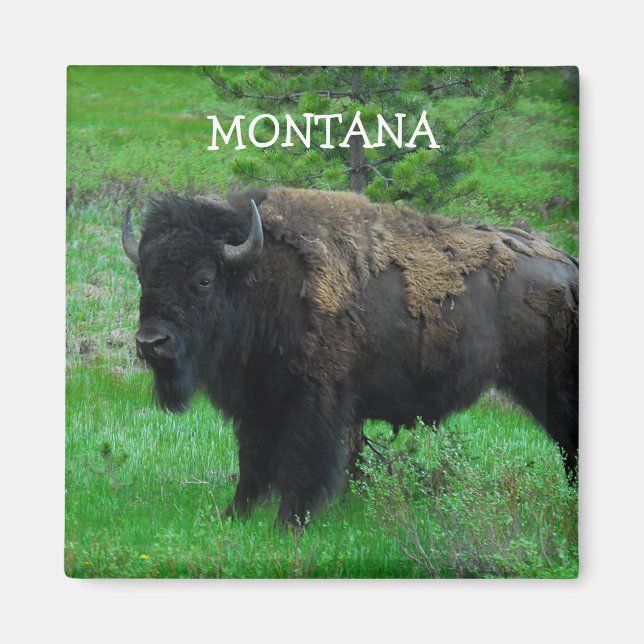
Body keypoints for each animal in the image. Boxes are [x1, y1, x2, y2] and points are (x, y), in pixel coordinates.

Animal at [122, 187, 579, 525]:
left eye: (203, 279)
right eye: (143, 274)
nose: (150, 342)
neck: (261, 279)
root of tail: (568, 267)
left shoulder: (314, 401)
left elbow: (302, 463)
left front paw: (288, 523)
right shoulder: (258, 402)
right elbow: (252, 462)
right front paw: (233, 517)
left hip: (549, 387)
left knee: (568, 442)